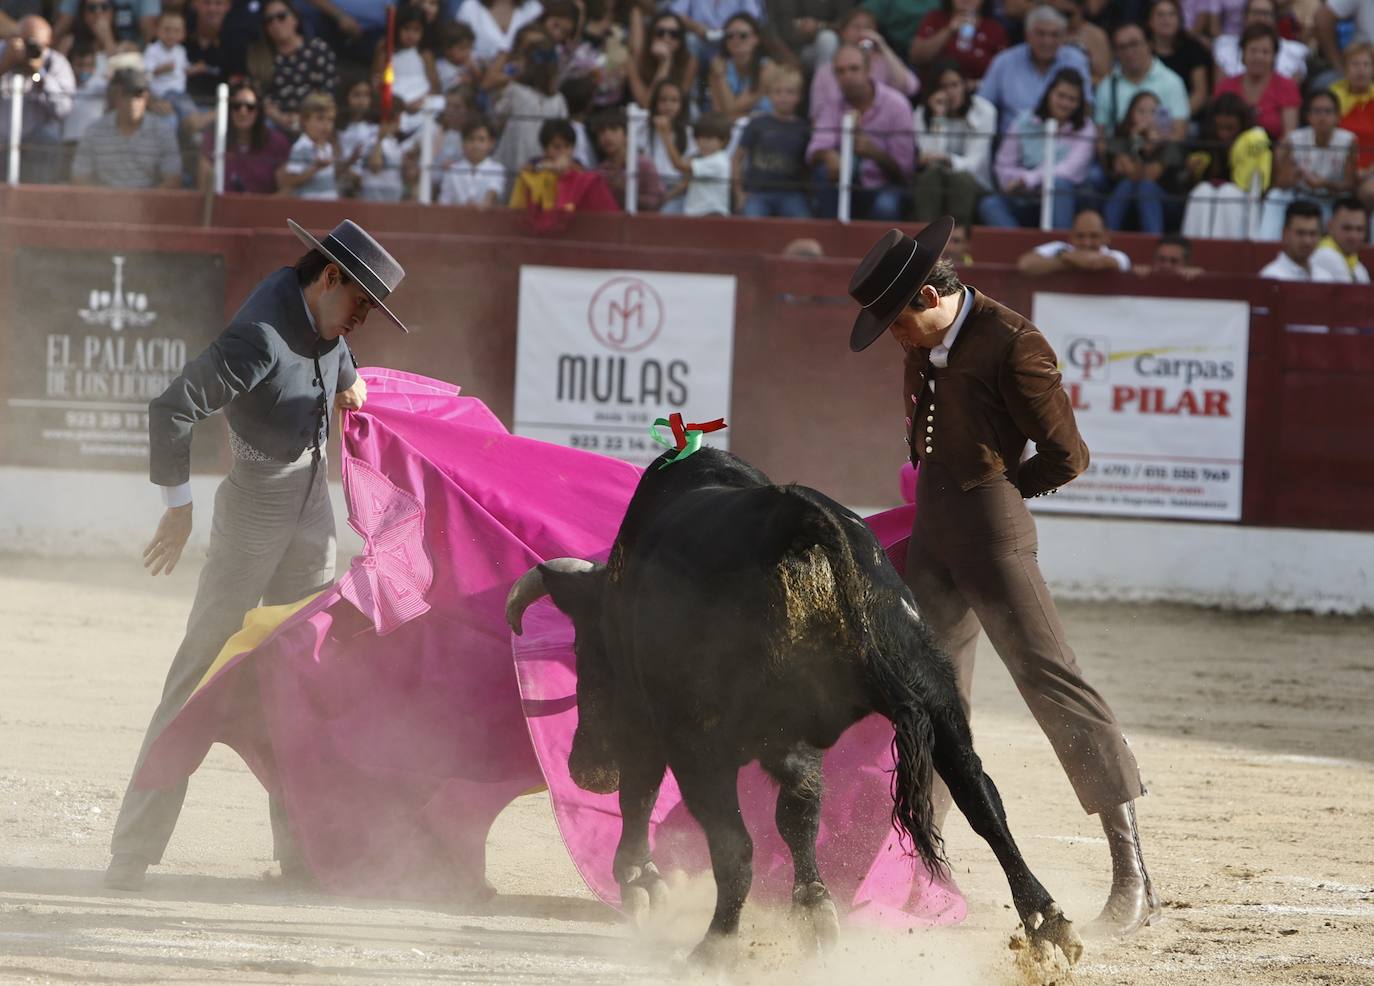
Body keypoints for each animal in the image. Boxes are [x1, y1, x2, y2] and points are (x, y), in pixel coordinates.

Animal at [505, 453, 1082, 966]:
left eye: (581, 651)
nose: (585, 769)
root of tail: (800, 521)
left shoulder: (652, 725)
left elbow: (644, 795)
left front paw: (641, 883)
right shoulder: (795, 742)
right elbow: (799, 817)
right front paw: (814, 911)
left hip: (699, 743)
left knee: (732, 844)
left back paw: (713, 946)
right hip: (934, 691)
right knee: (981, 799)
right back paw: (1046, 922)